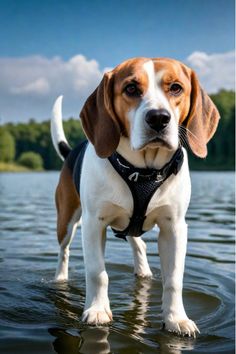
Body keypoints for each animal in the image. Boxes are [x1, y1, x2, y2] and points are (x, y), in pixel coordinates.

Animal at [50, 57, 219, 338]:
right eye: (130, 88)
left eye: (176, 87)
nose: (159, 118)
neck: (143, 170)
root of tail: (72, 150)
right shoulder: (93, 224)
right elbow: (97, 273)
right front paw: (97, 310)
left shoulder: (174, 227)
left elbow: (174, 279)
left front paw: (176, 318)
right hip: (67, 221)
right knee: (64, 252)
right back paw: (60, 279)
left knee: (138, 244)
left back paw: (144, 272)